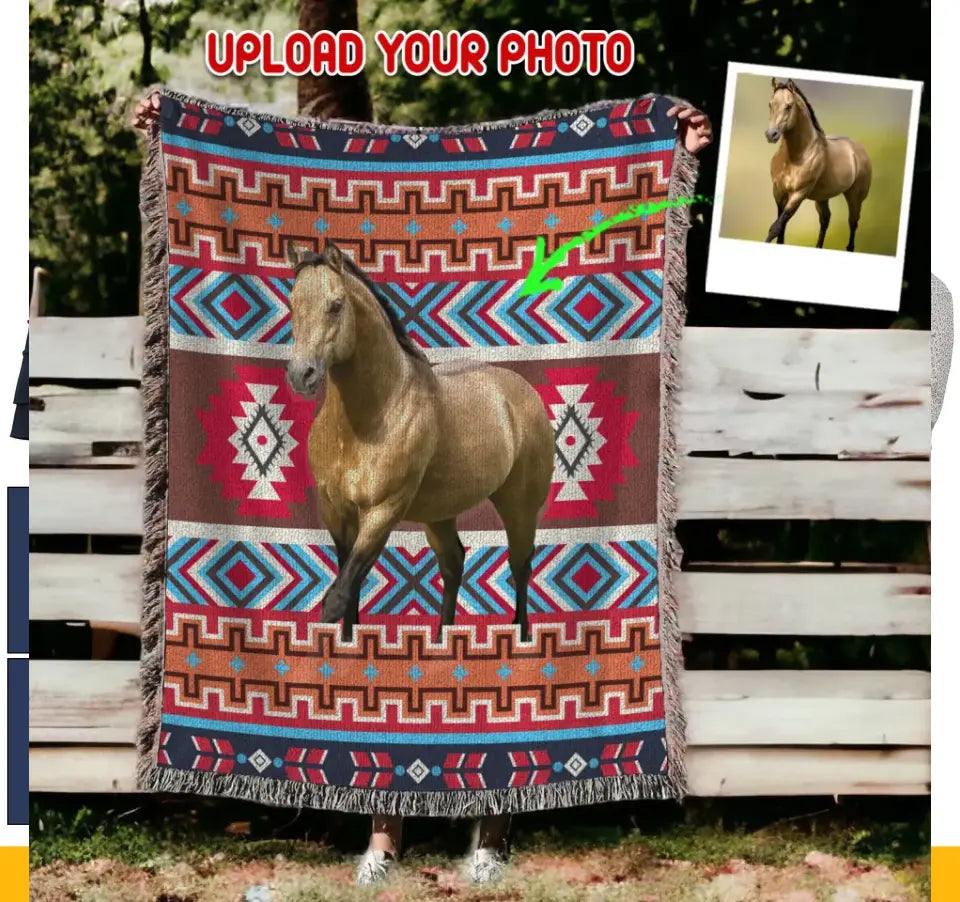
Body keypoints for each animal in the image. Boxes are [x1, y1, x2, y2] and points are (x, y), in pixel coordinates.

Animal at [284, 240, 555, 644]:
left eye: (335, 305)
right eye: (291, 304)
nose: (302, 375)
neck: (372, 419)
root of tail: (524, 394)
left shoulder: (383, 510)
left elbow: (341, 593)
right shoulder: (335, 510)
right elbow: (350, 593)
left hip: (519, 505)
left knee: (520, 566)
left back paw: (521, 634)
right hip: (440, 514)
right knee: (454, 563)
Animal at [764, 77, 872, 252]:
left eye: (789, 106)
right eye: (770, 104)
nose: (771, 134)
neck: (797, 156)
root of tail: (858, 149)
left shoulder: (798, 194)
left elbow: (775, 228)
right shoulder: (779, 193)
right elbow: (780, 231)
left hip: (855, 197)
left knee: (853, 223)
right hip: (822, 198)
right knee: (825, 220)